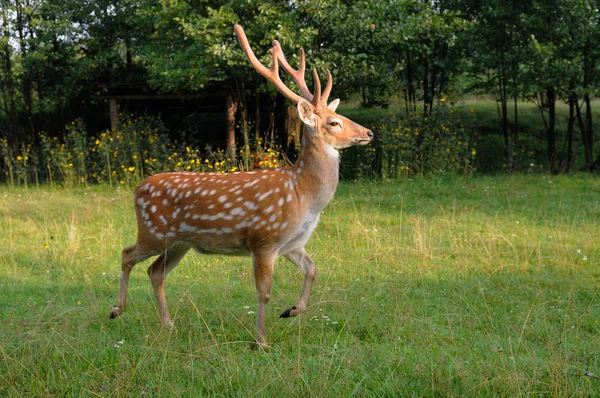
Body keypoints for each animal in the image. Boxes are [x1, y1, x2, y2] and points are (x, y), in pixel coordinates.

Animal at [107, 25, 370, 348]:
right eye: (334, 122)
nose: (369, 133)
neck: (303, 196)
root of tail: (137, 189)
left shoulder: (292, 243)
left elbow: (313, 269)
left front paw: (291, 310)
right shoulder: (264, 239)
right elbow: (264, 292)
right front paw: (261, 341)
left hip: (180, 243)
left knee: (155, 271)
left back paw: (168, 325)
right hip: (152, 231)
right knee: (127, 253)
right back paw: (117, 309)